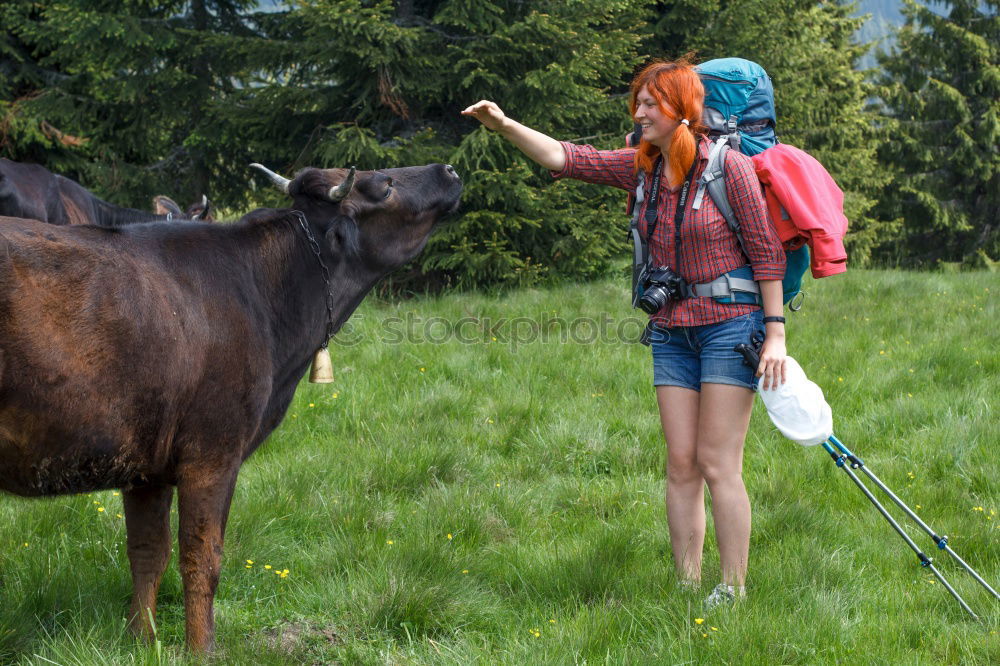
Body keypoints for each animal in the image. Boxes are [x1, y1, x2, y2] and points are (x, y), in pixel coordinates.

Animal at [0, 160, 460, 648]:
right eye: (385, 186)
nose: (448, 168)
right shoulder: (214, 452)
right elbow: (202, 558)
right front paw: (201, 649)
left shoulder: (146, 465)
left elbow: (147, 553)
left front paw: (141, 641)